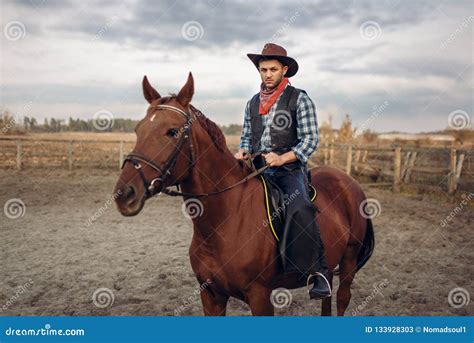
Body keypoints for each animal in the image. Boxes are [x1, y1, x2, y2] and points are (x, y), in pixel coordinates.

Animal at [114, 72, 374, 318]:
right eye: (138, 130)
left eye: (172, 131)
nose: (123, 193)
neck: (225, 220)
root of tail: (349, 182)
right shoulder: (211, 295)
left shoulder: (260, 296)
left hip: (349, 261)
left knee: (342, 299)